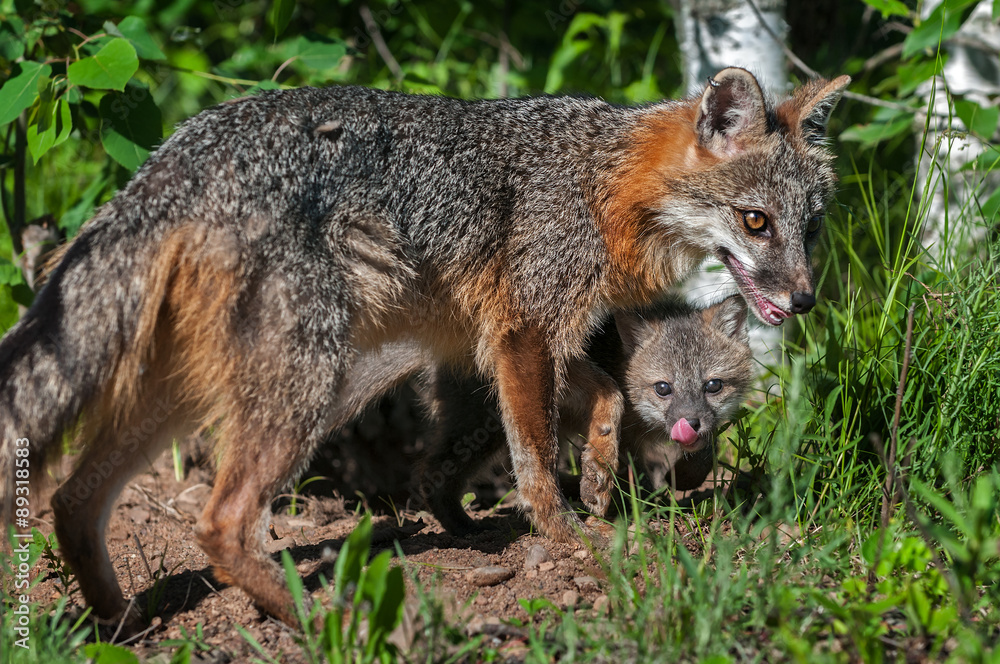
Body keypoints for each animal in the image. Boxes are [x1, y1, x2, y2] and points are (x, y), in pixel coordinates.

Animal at [418, 294, 753, 527]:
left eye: (713, 386)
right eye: (662, 388)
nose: (690, 423)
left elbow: (706, 453)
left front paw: (683, 478)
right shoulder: (624, 437)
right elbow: (635, 476)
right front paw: (643, 507)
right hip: (483, 435)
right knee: (431, 473)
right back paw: (461, 525)